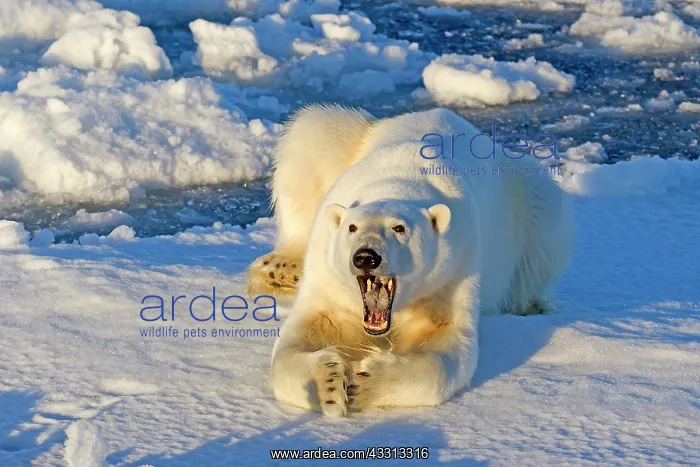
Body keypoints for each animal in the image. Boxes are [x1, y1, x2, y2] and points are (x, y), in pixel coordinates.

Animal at [247, 105, 574, 417]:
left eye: (399, 228)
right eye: (352, 227)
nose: (366, 257)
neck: (397, 180)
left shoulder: (451, 274)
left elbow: (448, 346)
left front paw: (364, 382)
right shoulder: (330, 281)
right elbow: (302, 335)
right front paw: (328, 384)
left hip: (525, 197)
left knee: (544, 214)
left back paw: (532, 304)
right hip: (340, 142)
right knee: (309, 135)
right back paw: (282, 269)